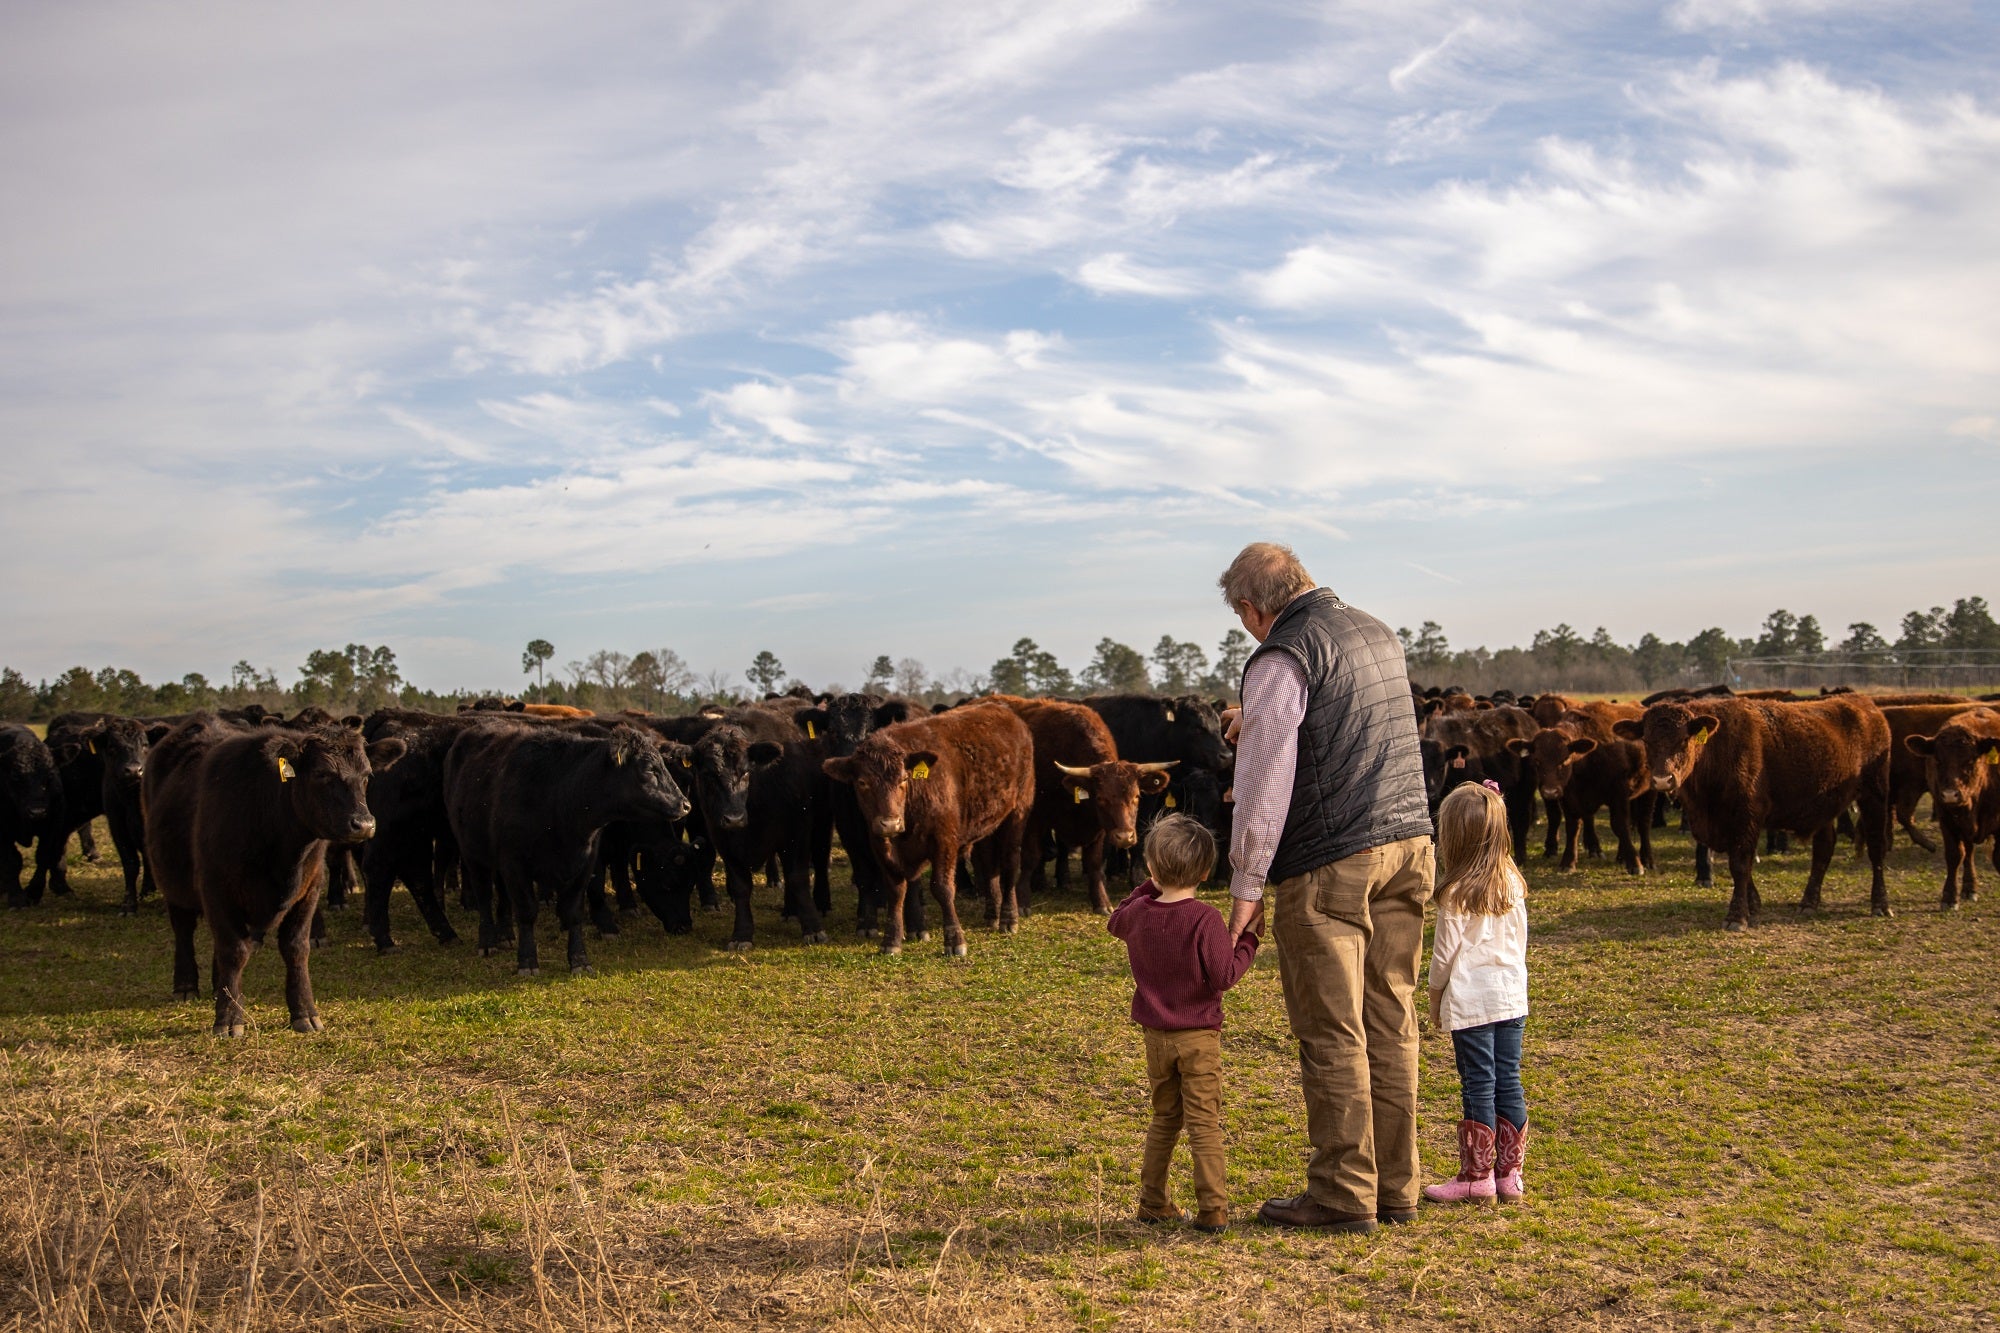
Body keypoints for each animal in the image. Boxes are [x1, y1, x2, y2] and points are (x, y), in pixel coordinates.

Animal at [820, 696, 1032, 956]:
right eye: (862, 782)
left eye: (903, 779)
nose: (890, 823)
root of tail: (1006, 712)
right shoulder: (880, 845)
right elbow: (896, 891)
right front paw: (891, 940)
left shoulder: (944, 842)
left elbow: (942, 888)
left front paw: (954, 940)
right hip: (987, 825)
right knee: (989, 865)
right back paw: (992, 915)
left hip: (1017, 813)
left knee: (1009, 864)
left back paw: (1009, 919)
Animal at [1608, 696, 1888, 924]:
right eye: (1646, 740)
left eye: (1684, 739)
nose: (1662, 780)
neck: (1716, 747)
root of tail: (1868, 706)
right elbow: (1741, 865)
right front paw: (1753, 905)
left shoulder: (1746, 817)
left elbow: (1740, 864)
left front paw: (1736, 916)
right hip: (1825, 810)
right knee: (1823, 850)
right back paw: (1808, 903)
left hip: (1874, 797)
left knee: (1876, 849)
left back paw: (1880, 905)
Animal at [1904, 712, 2000, 908]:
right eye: (1938, 760)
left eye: (1970, 760)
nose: (1950, 795)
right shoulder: (1947, 819)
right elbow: (1955, 855)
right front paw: (1949, 897)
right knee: (1968, 852)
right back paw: (1970, 888)